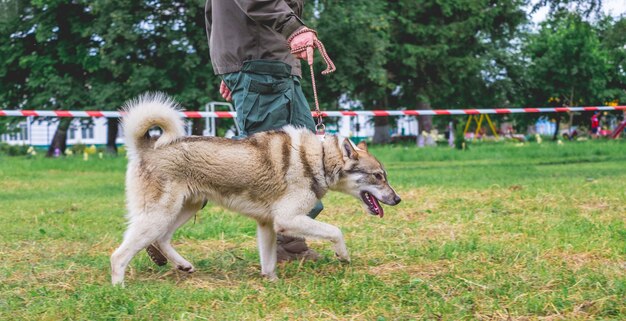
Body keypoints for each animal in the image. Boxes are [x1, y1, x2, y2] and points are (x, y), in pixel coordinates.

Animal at [108, 94, 400, 284]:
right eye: (378, 176)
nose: (397, 199)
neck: (316, 159)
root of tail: (146, 147)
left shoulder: (267, 224)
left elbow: (268, 261)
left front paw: (271, 282)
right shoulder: (287, 219)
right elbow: (335, 231)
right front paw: (343, 256)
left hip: (185, 209)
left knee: (162, 239)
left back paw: (183, 265)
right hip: (159, 215)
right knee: (119, 256)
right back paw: (120, 289)